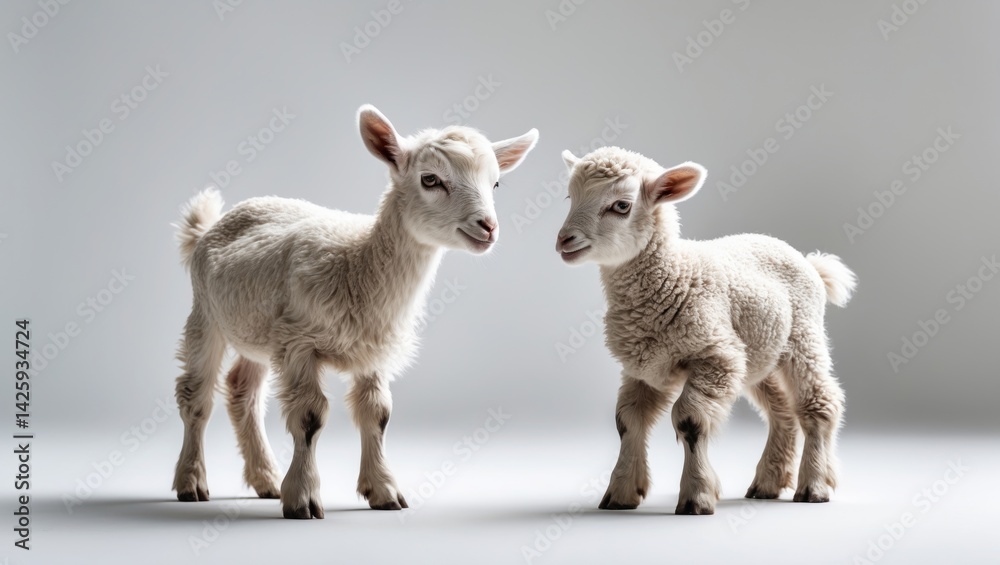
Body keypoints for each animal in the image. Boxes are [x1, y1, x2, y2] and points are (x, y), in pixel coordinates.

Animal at [171, 105, 538, 519]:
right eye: (430, 179)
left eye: (495, 184)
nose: (488, 227)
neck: (357, 262)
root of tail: (212, 226)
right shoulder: (299, 344)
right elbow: (309, 417)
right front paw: (302, 498)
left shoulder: (372, 349)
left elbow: (377, 414)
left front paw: (384, 491)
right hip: (205, 312)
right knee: (196, 397)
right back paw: (191, 482)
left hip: (257, 329)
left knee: (242, 392)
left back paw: (266, 479)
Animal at [555, 146, 856, 515]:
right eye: (570, 197)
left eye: (621, 206)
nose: (563, 240)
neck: (675, 274)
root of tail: (808, 260)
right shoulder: (643, 368)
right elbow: (627, 422)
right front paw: (621, 492)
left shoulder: (715, 357)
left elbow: (690, 421)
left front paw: (696, 495)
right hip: (759, 354)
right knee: (781, 411)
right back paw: (767, 483)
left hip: (803, 338)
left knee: (819, 404)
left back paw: (814, 485)